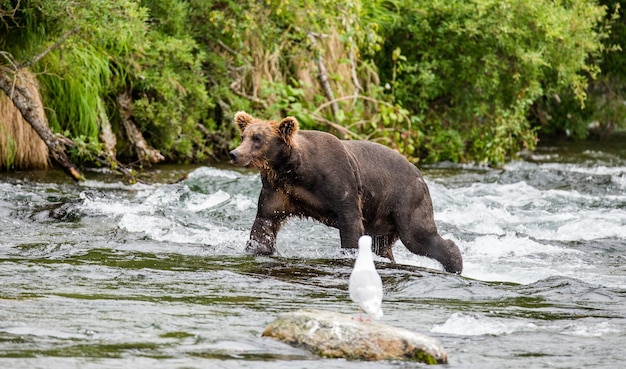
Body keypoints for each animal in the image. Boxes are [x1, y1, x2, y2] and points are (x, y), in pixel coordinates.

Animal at [227, 110, 460, 272]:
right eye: (244, 136)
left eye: (258, 139)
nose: (234, 153)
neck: (294, 171)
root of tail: (419, 174)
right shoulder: (279, 191)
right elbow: (265, 223)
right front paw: (256, 249)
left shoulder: (340, 184)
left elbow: (350, 222)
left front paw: (349, 254)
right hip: (382, 217)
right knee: (383, 245)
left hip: (406, 200)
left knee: (419, 235)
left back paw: (455, 264)